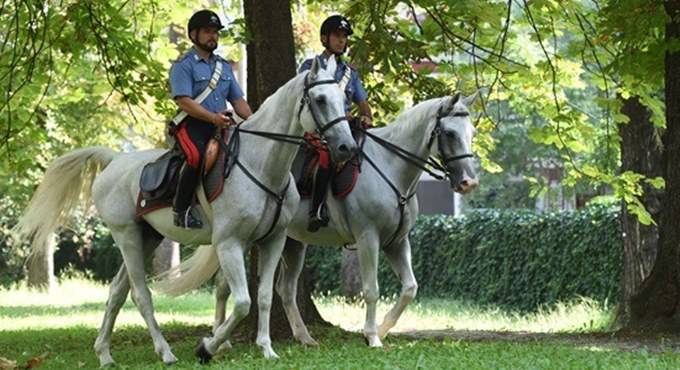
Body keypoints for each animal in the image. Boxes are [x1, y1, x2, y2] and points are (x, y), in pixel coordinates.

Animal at [14, 56, 356, 366]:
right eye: (320, 99)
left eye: (344, 99)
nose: (346, 148)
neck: (262, 165)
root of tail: (115, 160)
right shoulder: (228, 243)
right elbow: (242, 301)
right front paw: (208, 346)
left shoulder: (273, 241)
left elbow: (263, 297)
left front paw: (266, 349)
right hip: (127, 236)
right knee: (140, 294)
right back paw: (165, 352)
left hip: (147, 237)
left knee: (116, 291)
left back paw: (105, 354)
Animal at [157, 92, 480, 346]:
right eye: (449, 133)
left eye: (472, 132)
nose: (468, 183)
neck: (391, 168)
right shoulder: (369, 238)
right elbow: (372, 290)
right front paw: (372, 336)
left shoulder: (397, 242)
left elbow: (410, 289)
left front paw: (383, 330)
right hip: (247, 239)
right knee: (227, 286)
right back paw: (221, 339)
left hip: (291, 244)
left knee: (283, 289)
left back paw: (303, 337)